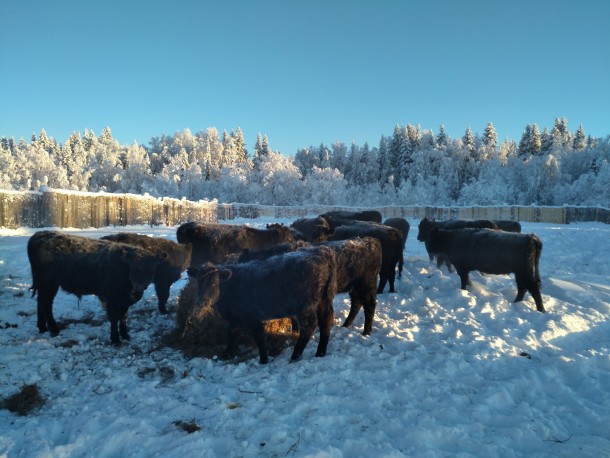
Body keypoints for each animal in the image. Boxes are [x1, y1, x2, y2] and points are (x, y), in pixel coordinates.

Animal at [27, 231, 164, 346]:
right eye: (133, 267)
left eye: (151, 268)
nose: (139, 286)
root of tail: (39, 235)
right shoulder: (113, 299)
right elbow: (114, 318)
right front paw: (115, 340)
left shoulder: (124, 301)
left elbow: (123, 317)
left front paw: (125, 335)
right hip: (48, 284)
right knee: (46, 305)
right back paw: (54, 330)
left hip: (45, 285)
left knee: (40, 303)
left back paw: (43, 328)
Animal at [189, 247, 334, 364]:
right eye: (198, 282)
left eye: (214, 283)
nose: (201, 302)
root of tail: (320, 252)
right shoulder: (236, 319)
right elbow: (232, 334)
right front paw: (226, 354)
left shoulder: (252, 318)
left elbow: (259, 337)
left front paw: (263, 360)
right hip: (324, 298)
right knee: (326, 319)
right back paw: (320, 352)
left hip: (305, 306)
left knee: (309, 326)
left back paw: (295, 356)